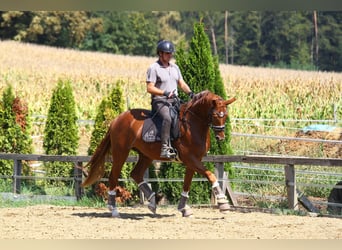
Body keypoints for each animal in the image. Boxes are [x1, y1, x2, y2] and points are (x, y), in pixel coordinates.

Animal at [83, 90, 235, 217]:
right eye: (215, 115)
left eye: (225, 115)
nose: (221, 137)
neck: (192, 124)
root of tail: (117, 119)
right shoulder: (190, 159)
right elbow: (211, 175)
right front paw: (223, 203)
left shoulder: (193, 160)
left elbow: (187, 183)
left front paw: (183, 209)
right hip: (121, 152)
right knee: (113, 176)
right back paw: (114, 209)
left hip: (146, 155)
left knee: (136, 174)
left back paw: (152, 202)